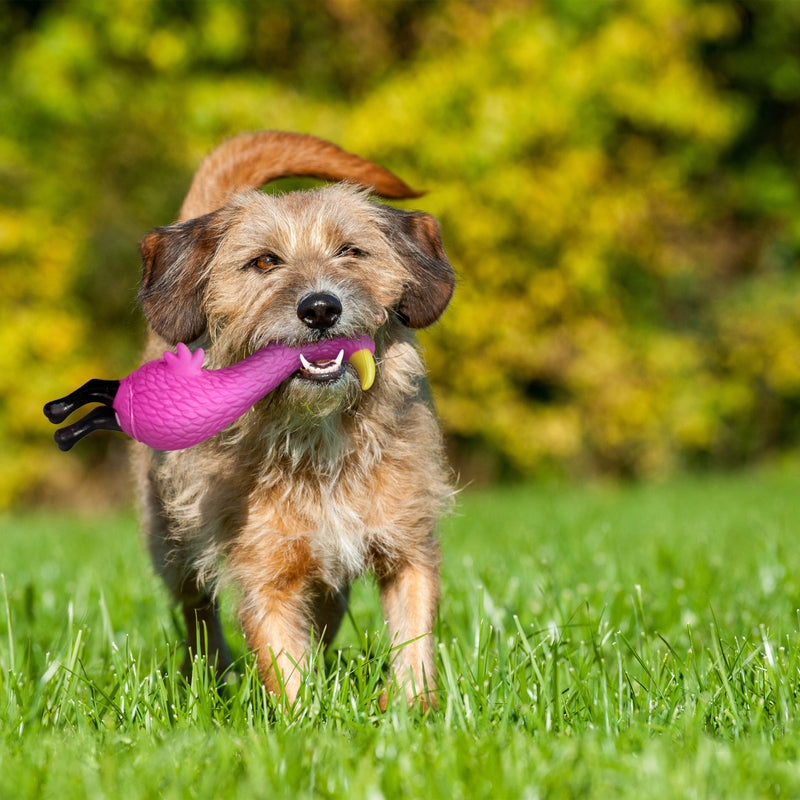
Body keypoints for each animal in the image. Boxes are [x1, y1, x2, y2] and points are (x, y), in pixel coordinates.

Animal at [134, 131, 454, 708]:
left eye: (351, 251)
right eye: (264, 262)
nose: (321, 307)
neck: (320, 436)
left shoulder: (409, 549)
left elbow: (414, 643)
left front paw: (412, 710)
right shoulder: (266, 577)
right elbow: (286, 671)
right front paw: (308, 721)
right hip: (173, 546)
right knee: (198, 614)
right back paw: (212, 679)